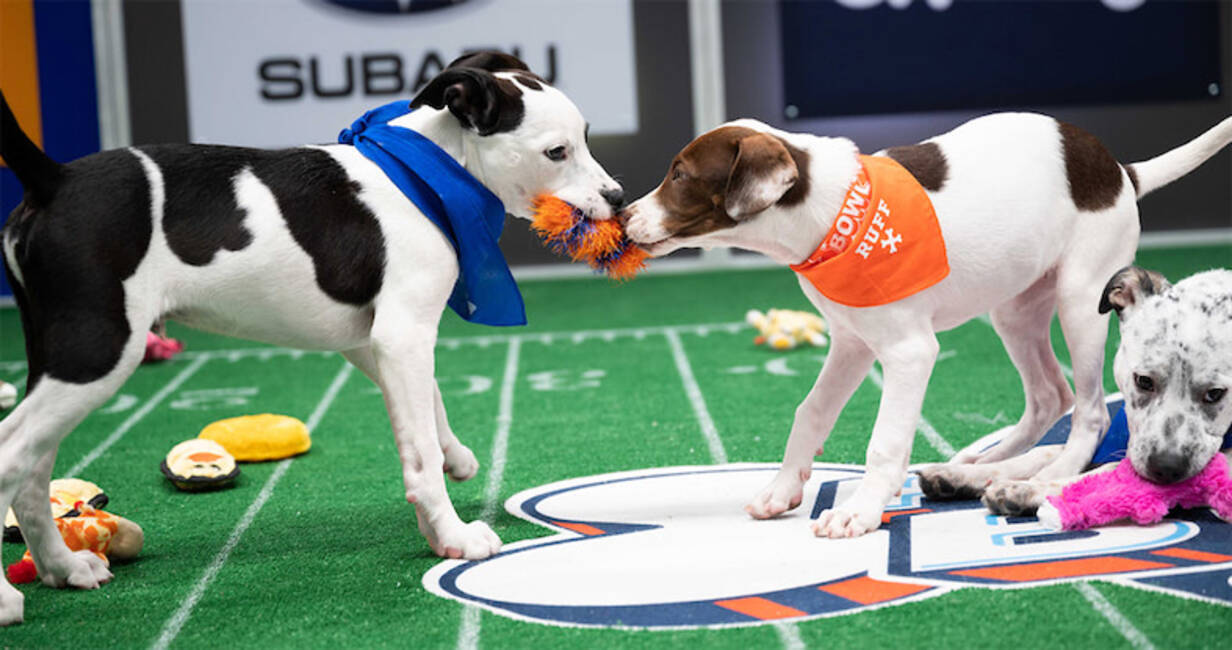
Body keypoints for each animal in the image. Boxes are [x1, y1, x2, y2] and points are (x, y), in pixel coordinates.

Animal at [0, 52, 620, 625]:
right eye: (557, 152)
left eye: (587, 138)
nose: (617, 197)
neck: (428, 175)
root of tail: (55, 179)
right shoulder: (402, 333)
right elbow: (418, 454)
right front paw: (452, 536)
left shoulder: (372, 341)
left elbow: (430, 404)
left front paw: (456, 456)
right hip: (98, 350)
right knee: (13, 452)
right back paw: (11, 598)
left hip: (62, 358)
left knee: (32, 471)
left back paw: (62, 567)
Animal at [625, 115, 1232, 539]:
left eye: (680, 175)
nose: (623, 215)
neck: (833, 215)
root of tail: (1119, 170)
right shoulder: (850, 343)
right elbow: (811, 413)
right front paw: (781, 489)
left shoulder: (909, 351)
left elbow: (884, 441)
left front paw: (861, 510)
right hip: (1014, 307)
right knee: (1048, 395)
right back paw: (982, 464)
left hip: (1082, 299)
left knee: (1087, 413)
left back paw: (1042, 483)